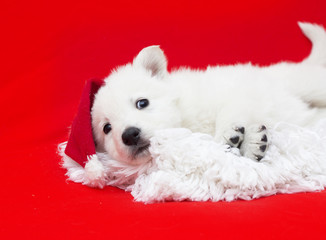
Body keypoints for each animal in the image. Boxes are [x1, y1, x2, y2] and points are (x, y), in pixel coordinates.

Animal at [91, 22, 326, 164]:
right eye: (107, 128)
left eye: (142, 103)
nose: (129, 134)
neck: (186, 122)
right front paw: (252, 143)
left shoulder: (236, 90)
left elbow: (230, 110)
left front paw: (231, 135)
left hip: (304, 82)